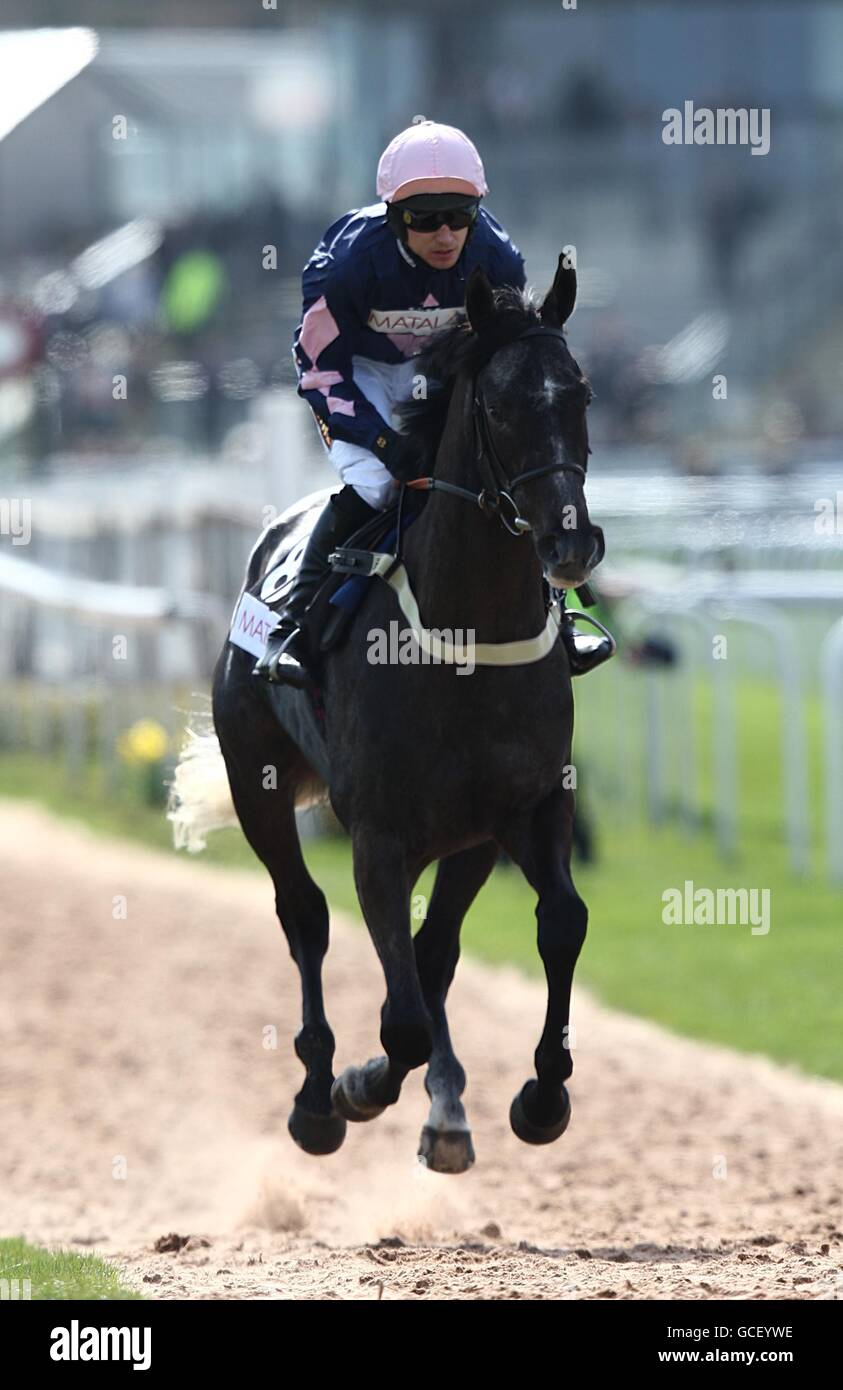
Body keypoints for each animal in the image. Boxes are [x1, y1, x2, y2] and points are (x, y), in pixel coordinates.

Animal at [173, 252, 606, 1173]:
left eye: (580, 393)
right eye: (499, 406)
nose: (569, 543)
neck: (467, 638)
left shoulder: (525, 808)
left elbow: (560, 923)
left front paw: (542, 1096)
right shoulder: (376, 833)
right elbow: (397, 1018)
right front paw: (357, 1086)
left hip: (466, 839)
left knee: (433, 950)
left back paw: (446, 1111)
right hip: (258, 781)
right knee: (305, 918)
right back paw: (317, 1096)